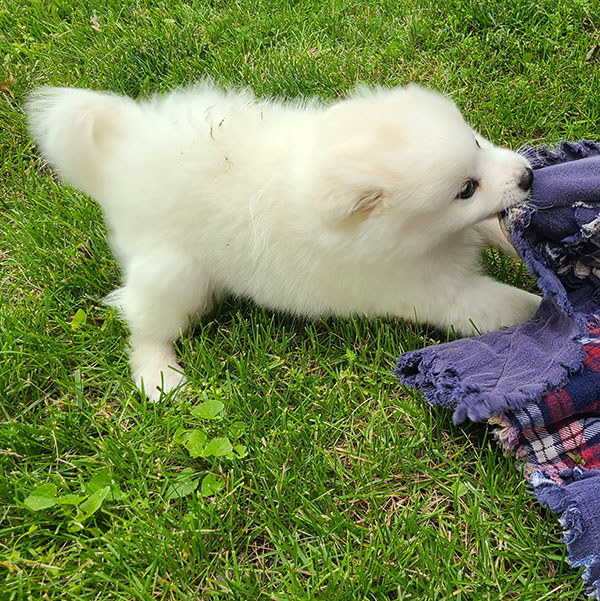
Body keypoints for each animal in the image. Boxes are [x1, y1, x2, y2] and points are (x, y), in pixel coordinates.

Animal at [27, 79, 540, 398]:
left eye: (477, 144)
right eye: (464, 189)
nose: (529, 175)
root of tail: (121, 154)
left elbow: (494, 224)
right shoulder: (431, 291)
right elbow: (505, 305)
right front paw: (551, 312)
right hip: (174, 272)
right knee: (143, 322)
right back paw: (159, 376)